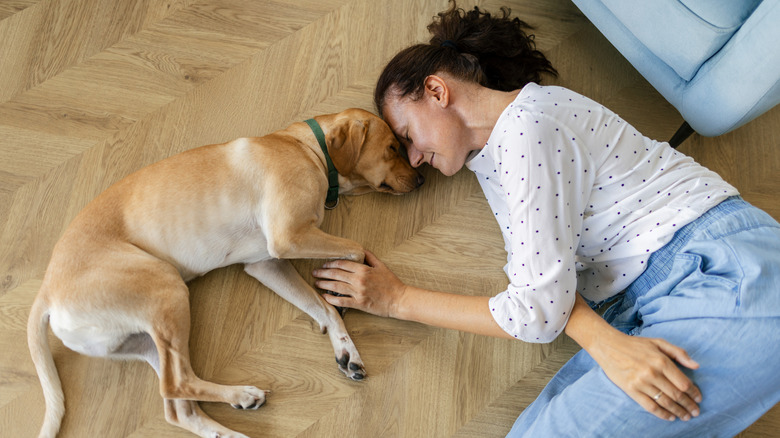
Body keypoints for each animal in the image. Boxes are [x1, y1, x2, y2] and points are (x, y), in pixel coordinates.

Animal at [27, 107, 424, 438]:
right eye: (393, 147)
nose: (421, 179)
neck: (308, 148)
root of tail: (46, 291)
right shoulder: (289, 237)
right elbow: (355, 248)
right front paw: (346, 283)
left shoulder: (266, 263)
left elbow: (322, 308)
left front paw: (346, 350)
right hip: (167, 288)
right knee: (176, 383)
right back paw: (243, 394)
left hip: (145, 340)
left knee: (178, 408)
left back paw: (233, 418)